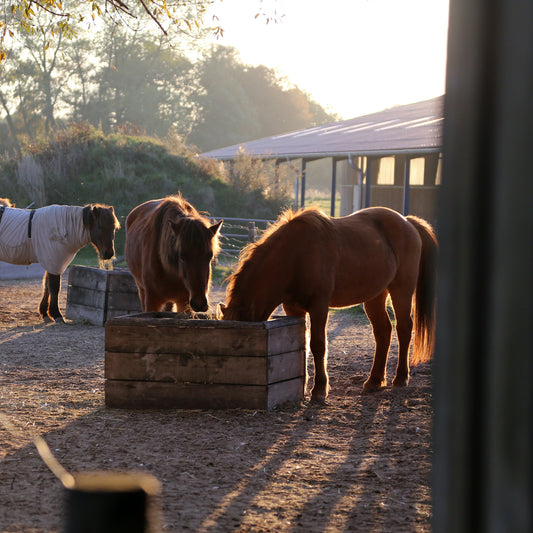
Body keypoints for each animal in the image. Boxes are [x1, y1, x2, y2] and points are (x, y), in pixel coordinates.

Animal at [220, 206, 436, 402]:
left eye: (242, 343)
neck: (296, 254)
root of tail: (408, 222)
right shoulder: (292, 308)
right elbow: (303, 344)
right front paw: (303, 386)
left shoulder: (319, 306)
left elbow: (318, 345)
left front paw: (319, 390)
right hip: (375, 296)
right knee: (383, 332)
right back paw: (374, 381)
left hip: (401, 290)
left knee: (404, 328)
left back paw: (400, 378)